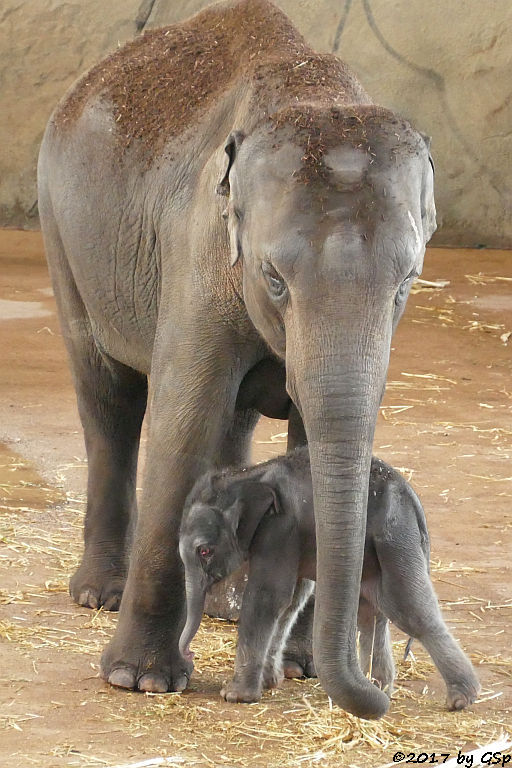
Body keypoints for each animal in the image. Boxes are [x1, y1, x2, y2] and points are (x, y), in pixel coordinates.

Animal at [37, 0, 436, 720]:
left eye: (407, 282)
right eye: (273, 278)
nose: (369, 695)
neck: (314, 91)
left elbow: (304, 438)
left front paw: (303, 668)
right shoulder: (198, 250)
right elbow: (184, 421)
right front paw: (138, 680)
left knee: (232, 421)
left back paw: (223, 603)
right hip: (62, 231)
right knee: (109, 400)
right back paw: (99, 595)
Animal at [178, 448, 478, 712]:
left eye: (204, 551)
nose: (189, 654)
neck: (247, 476)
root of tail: (412, 499)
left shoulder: (280, 529)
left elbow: (269, 596)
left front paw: (235, 696)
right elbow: (292, 600)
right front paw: (269, 682)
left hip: (396, 540)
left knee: (409, 610)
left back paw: (461, 699)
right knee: (374, 612)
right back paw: (379, 687)